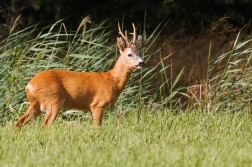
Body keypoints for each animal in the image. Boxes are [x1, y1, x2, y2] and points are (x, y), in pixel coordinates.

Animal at [15, 22, 144, 128]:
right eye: (129, 54)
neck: (112, 80)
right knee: (44, 126)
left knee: (18, 123)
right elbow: (98, 128)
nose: (141, 62)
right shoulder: (97, 105)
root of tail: (29, 86)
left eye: (139, 53)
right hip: (53, 100)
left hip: (36, 104)